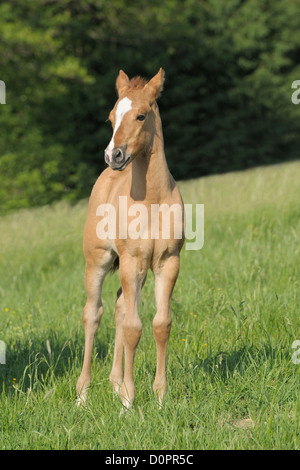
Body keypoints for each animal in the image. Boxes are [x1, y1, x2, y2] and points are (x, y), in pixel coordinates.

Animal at [76, 68, 184, 410]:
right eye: (111, 117)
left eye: (140, 115)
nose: (114, 154)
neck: (152, 201)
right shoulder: (132, 262)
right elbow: (134, 329)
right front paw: (128, 401)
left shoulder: (167, 263)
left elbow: (160, 324)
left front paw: (159, 396)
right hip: (98, 261)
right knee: (93, 314)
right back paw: (82, 395)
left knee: (120, 310)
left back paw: (113, 383)